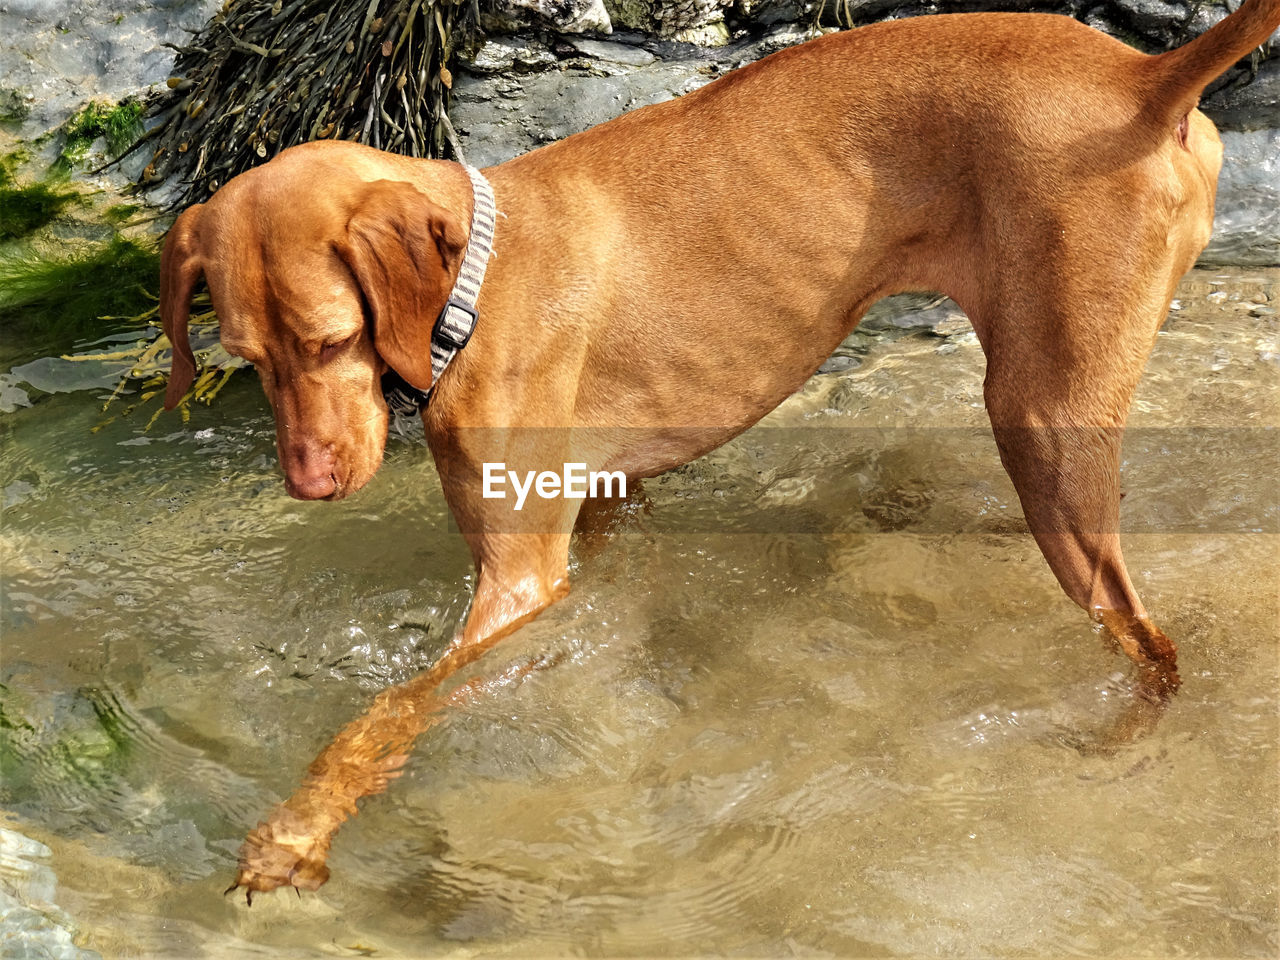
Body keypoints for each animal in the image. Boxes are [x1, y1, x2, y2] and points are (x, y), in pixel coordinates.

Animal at [165, 1, 1280, 901]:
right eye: (249, 358)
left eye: (329, 341)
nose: (310, 485)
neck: (477, 277)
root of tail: (1139, 79)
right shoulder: (603, 516)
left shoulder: (522, 581)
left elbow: (385, 712)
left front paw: (292, 833)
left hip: (1042, 427)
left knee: (1154, 648)